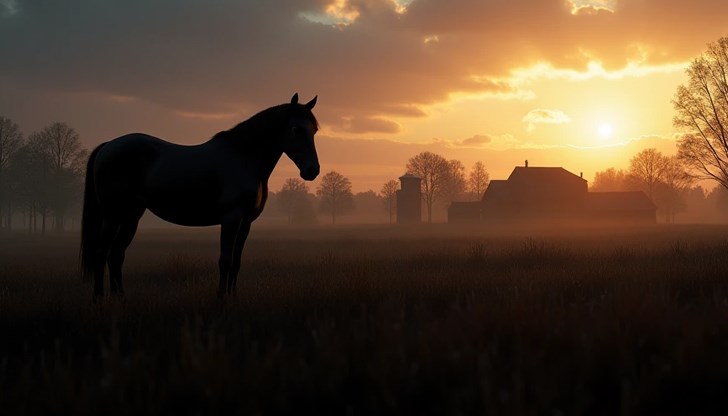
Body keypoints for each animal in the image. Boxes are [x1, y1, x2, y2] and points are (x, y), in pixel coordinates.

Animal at [80, 92, 318, 298]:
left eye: (314, 130)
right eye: (296, 129)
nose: (312, 170)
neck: (243, 158)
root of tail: (108, 146)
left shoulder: (246, 221)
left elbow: (237, 261)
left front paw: (233, 296)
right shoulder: (231, 217)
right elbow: (225, 260)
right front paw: (221, 297)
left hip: (131, 216)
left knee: (116, 254)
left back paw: (119, 297)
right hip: (112, 216)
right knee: (101, 252)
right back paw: (99, 298)